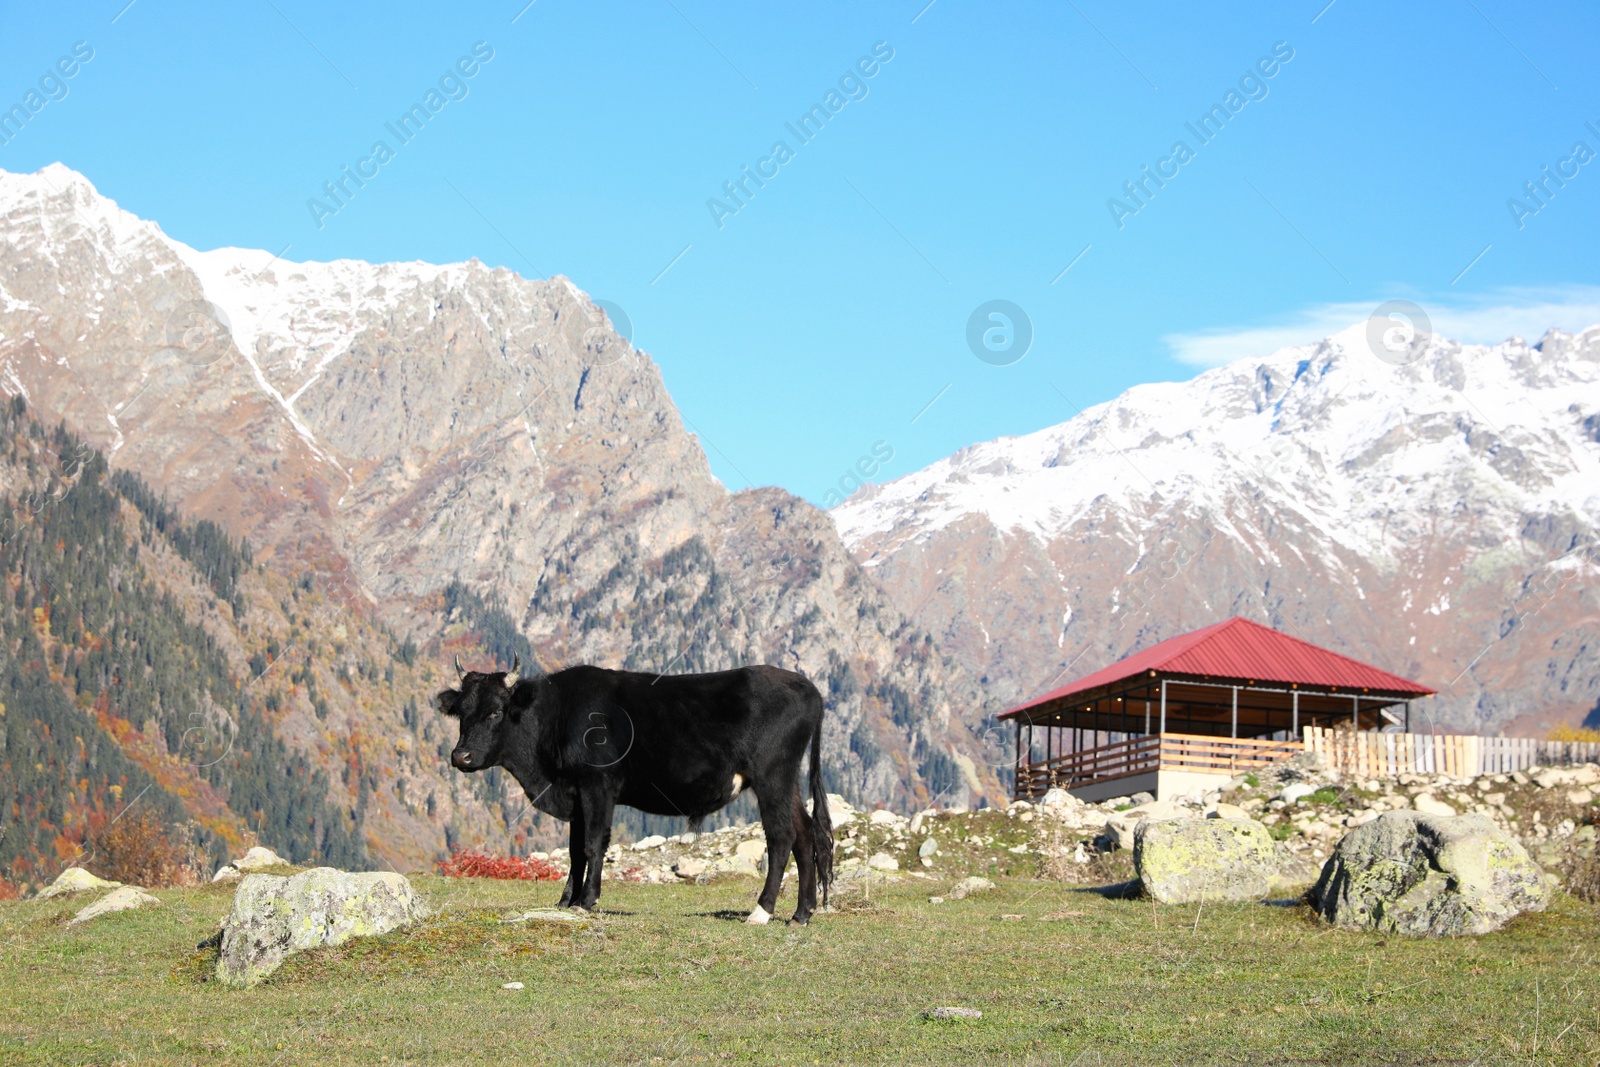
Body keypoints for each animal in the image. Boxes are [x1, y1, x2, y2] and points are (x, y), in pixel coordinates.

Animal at [438, 655, 838, 921]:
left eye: (495, 712)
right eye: (462, 713)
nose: (461, 756)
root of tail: (805, 686)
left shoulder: (598, 784)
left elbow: (593, 843)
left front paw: (588, 900)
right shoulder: (575, 792)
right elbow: (574, 851)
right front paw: (565, 901)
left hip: (772, 776)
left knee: (782, 836)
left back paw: (762, 910)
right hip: (786, 782)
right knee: (805, 835)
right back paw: (801, 913)